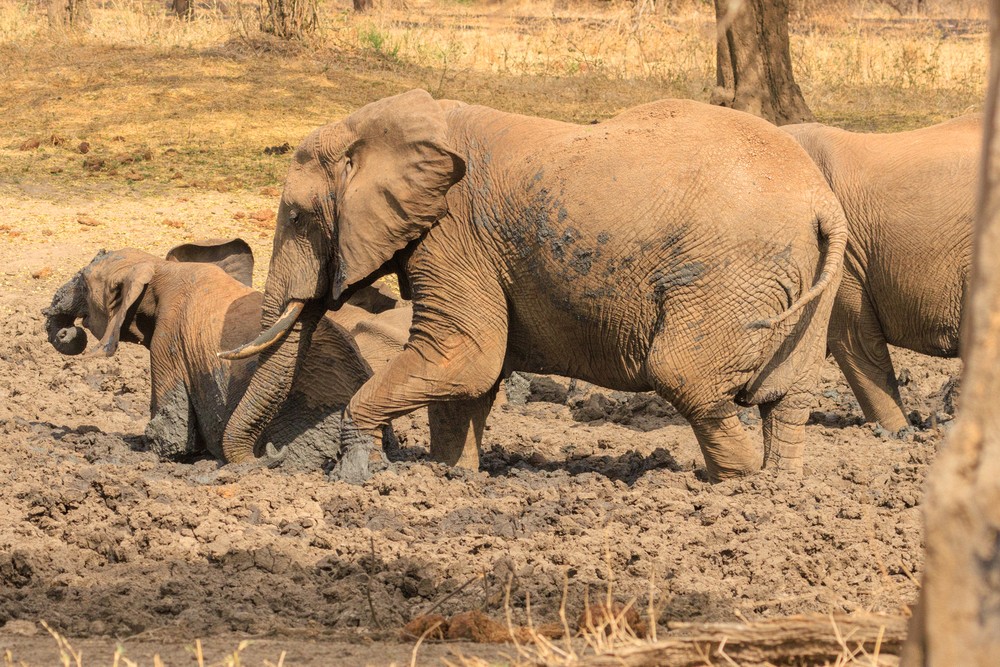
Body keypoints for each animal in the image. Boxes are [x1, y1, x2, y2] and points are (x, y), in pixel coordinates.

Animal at [220, 90, 848, 483]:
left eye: (297, 216)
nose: (256, 466)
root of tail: (820, 204)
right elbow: (471, 376)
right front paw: (451, 475)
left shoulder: (454, 234)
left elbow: (465, 354)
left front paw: (357, 472)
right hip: (805, 279)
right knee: (787, 399)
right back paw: (775, 488)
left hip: (728, 274)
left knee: (687, 378)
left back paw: (733, 485)